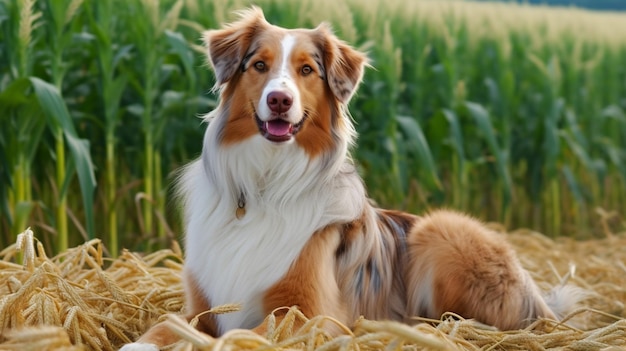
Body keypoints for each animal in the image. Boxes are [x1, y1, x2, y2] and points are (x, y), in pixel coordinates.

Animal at [119, 6, 576, 350]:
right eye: (259, 65)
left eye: (306, 70)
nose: (279, 100)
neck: (266, 182)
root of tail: (539, 296)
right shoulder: (205, 306)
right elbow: (165, 324)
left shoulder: (309, 313)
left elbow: (244, 338)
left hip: (441, 229)